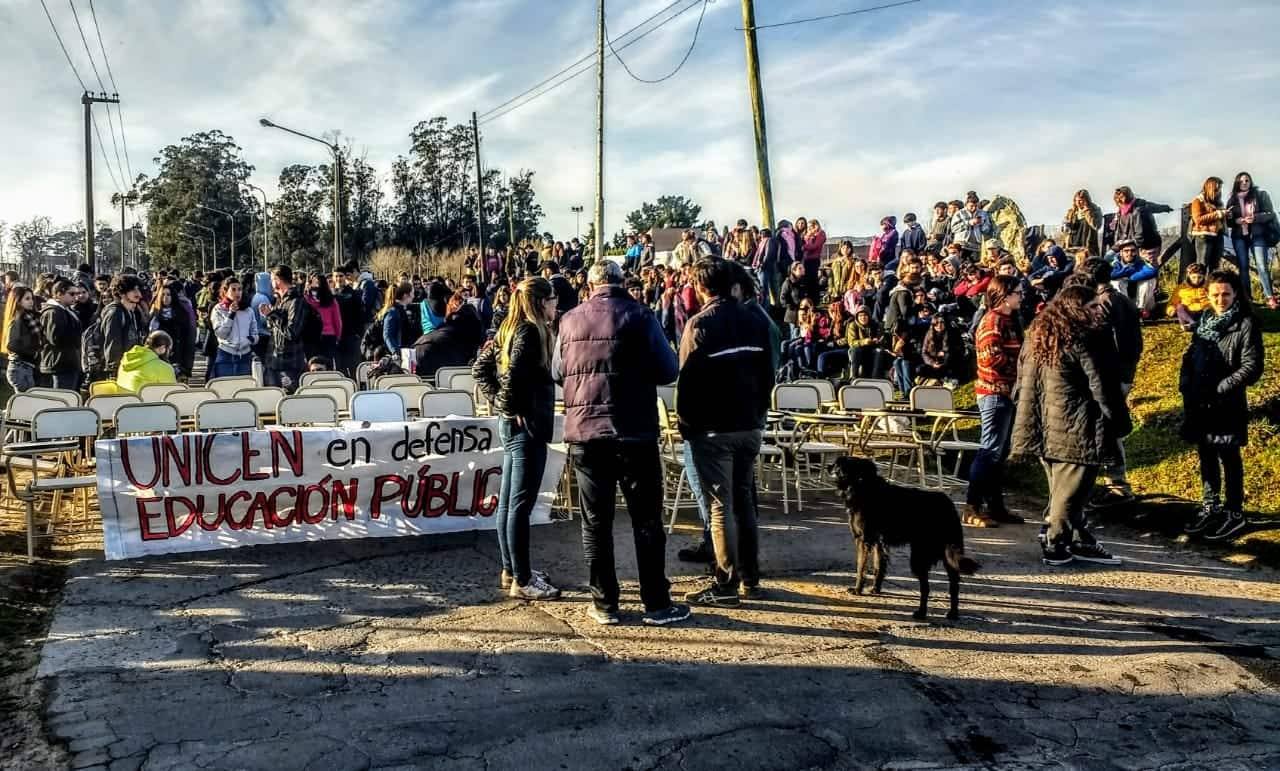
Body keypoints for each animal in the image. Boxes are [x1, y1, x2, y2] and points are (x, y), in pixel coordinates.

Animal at [829, 455, 977, 617]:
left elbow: (861, 567)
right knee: (954, 585)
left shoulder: (863, 540)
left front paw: (857, 590)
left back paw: (921, 613)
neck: (865, 485)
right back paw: (952, 614)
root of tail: (948, 506)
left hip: (919, 556)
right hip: (949, 556)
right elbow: (878, 567)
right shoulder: (879, 543)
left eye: (837, 465)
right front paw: (876, 589)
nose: (828, 467)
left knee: (926, 587)